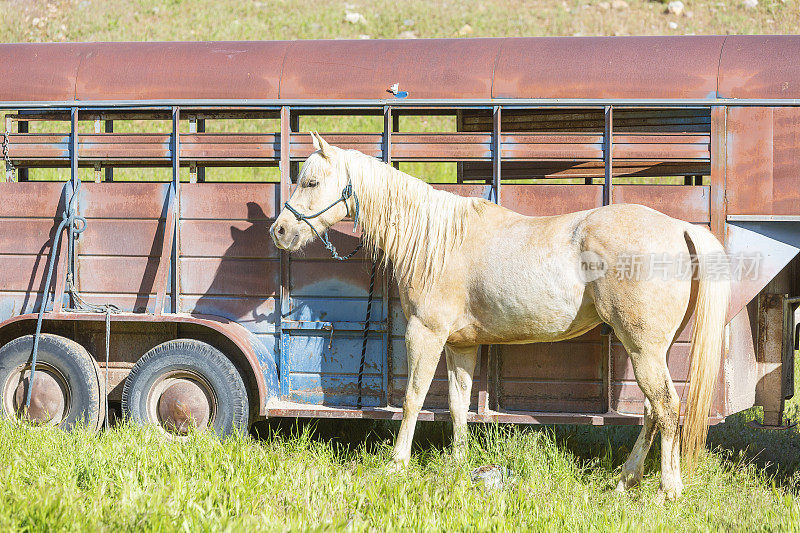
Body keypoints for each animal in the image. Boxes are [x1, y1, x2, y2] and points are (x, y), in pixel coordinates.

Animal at [270, 132, 732, 498]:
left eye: (311, 181)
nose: (279, 231)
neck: (434, 241)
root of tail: (678, 227)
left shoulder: (426, 334)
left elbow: (413, 398)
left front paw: (397, 463)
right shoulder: (459, 345)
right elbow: (457, 404)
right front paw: (459, 464)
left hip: (644, 348)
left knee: (667, 409)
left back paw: (668, 489)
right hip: (650, 350)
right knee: (654, 411)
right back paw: (625, 480)